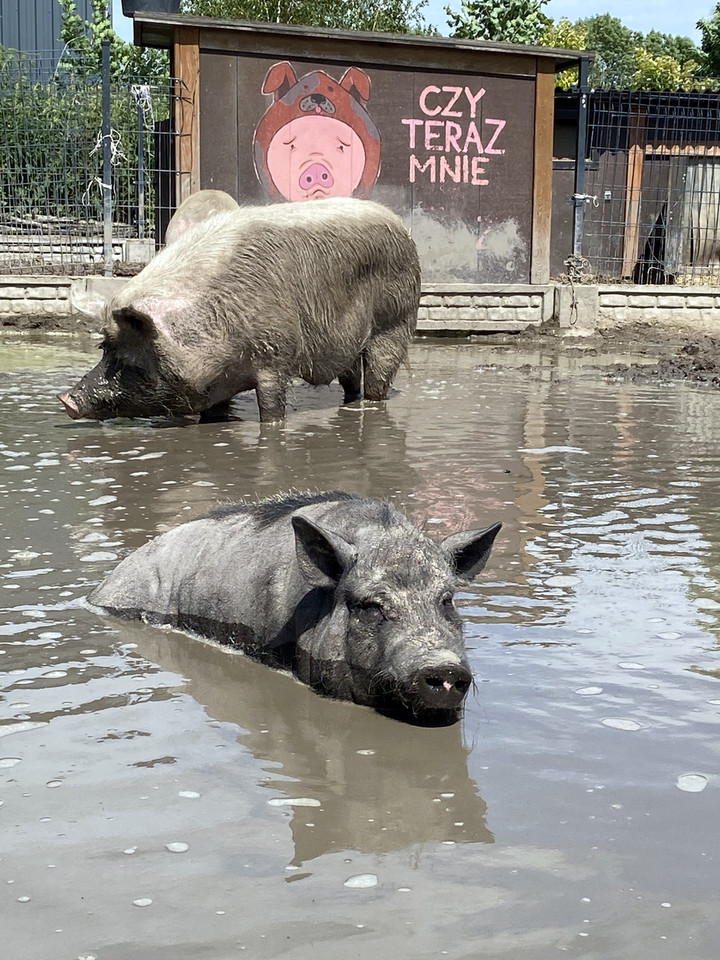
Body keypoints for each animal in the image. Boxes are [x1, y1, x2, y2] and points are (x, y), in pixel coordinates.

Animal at [59, 197, 420, 422]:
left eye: (129, 359)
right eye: (104, 348)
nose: (67, 401)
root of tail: (402, 227)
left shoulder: (275, 356)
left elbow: (271, 410)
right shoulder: (215, 384)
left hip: (395, 322)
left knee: (378, 377)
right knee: (351, 380)